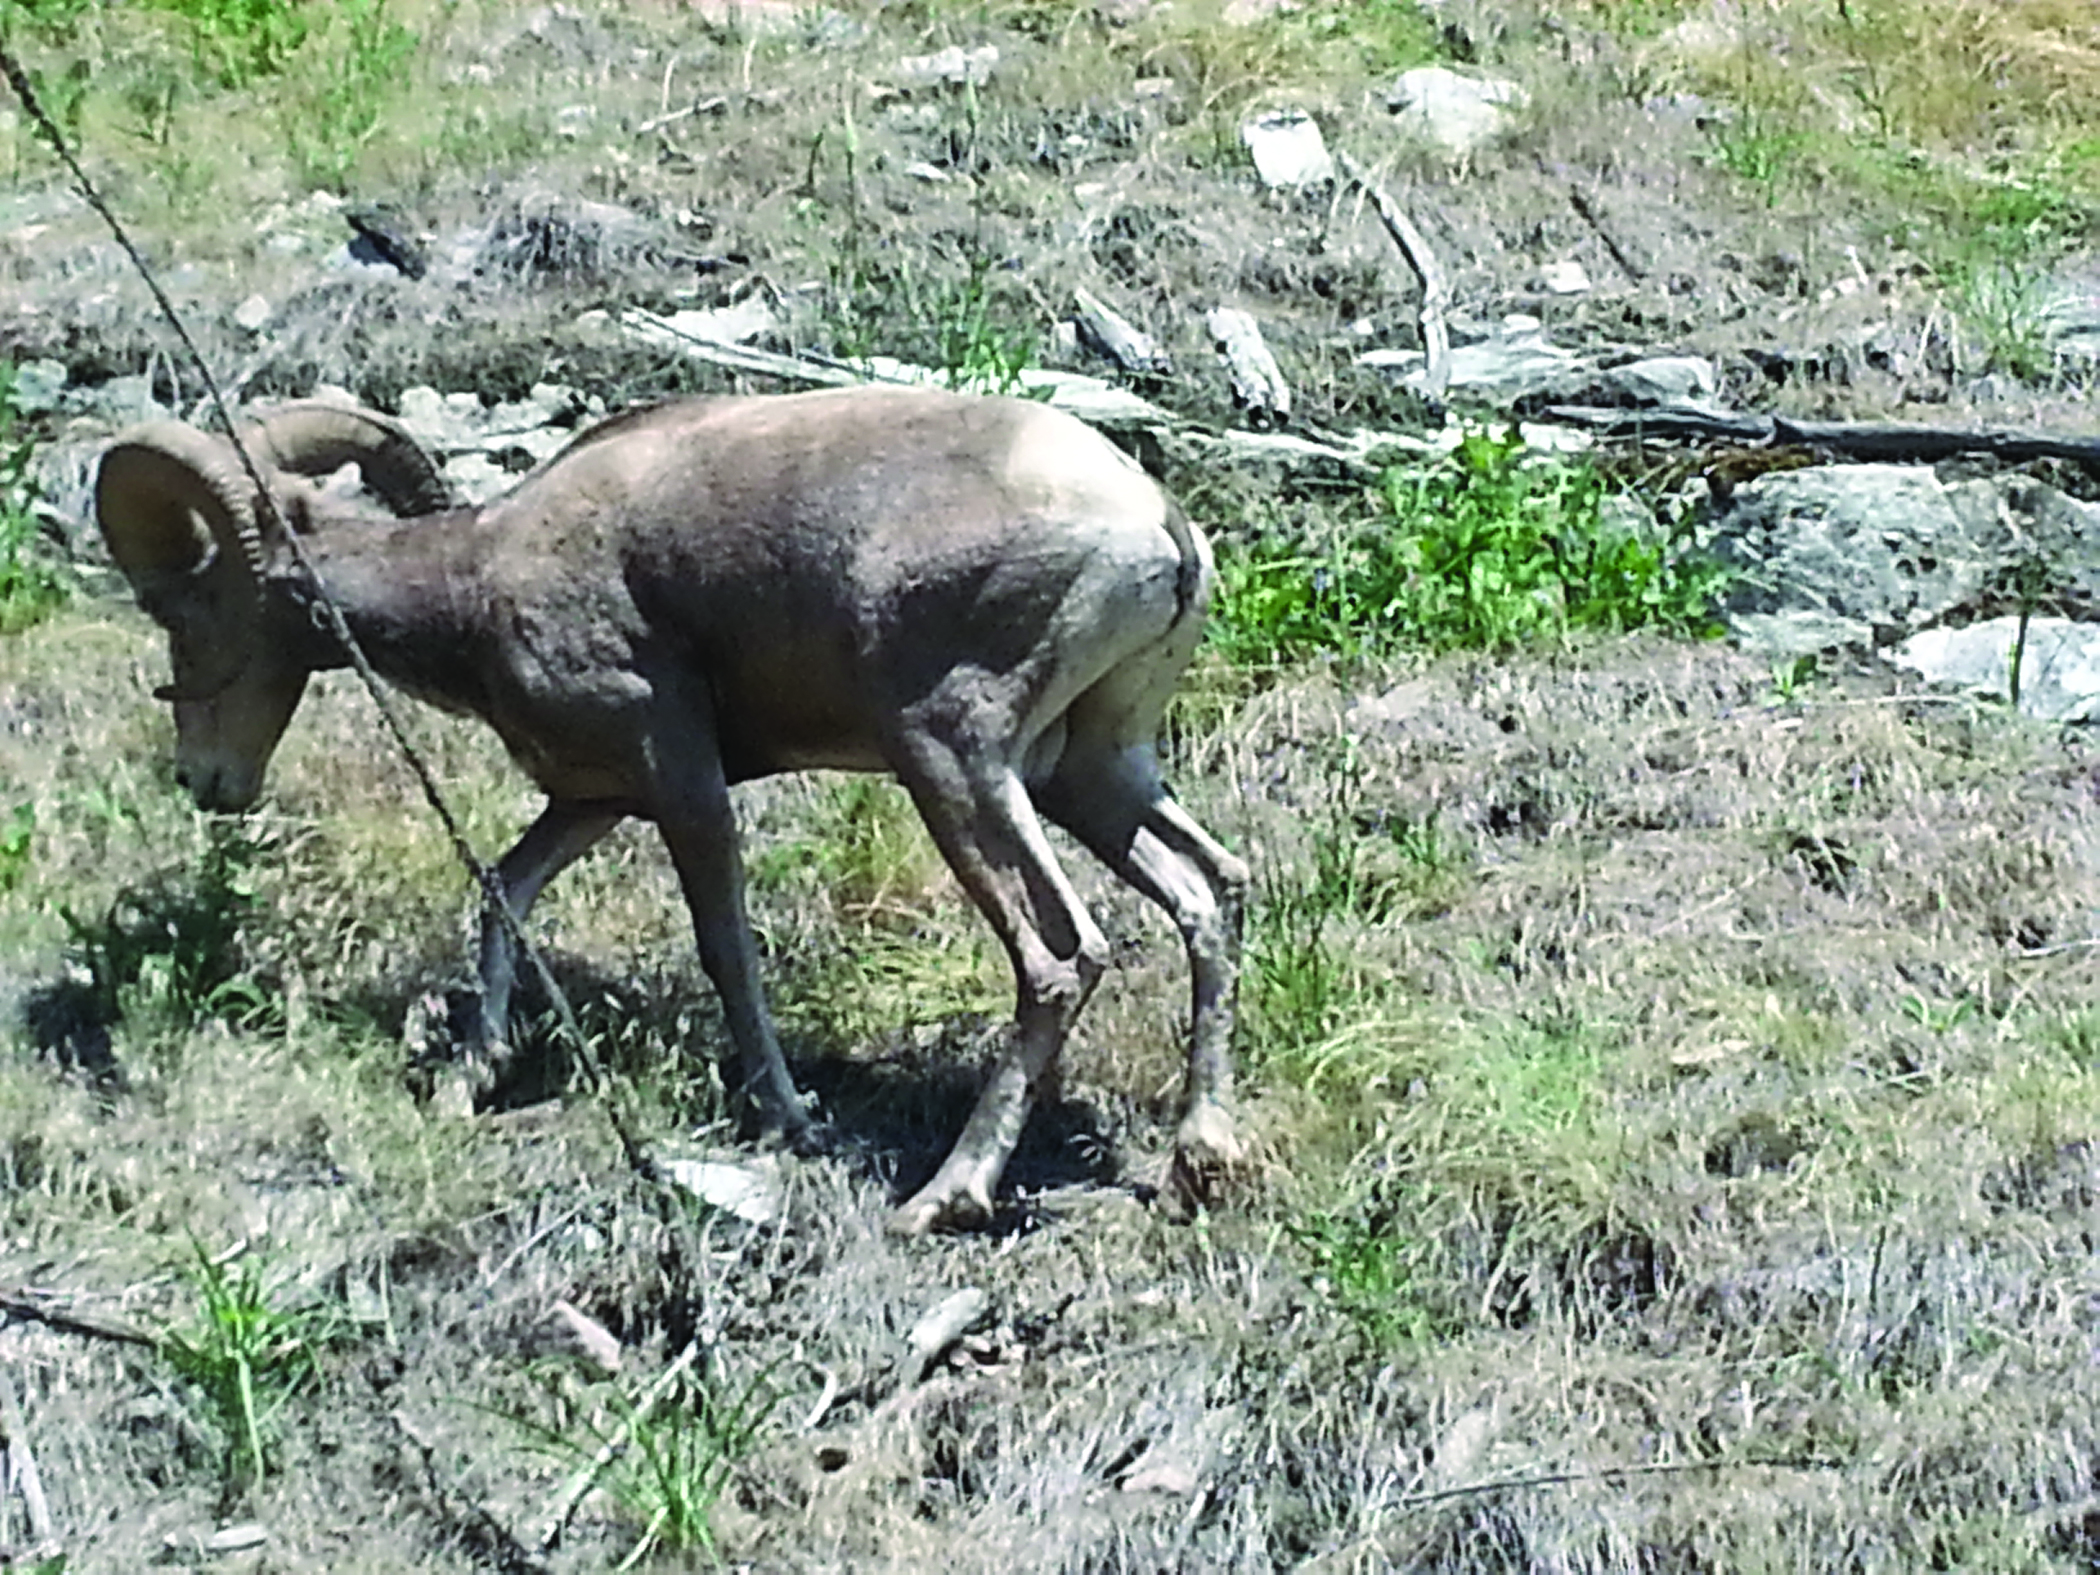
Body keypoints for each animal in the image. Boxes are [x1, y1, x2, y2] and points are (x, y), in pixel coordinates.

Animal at [94, 387, 1248, 1234]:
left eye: (191, 609)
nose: (207, 782)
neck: (480, 583)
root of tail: (1159, 537)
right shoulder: (596, 797)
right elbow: (504, 891)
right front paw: (474, 1075)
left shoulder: (678, 778)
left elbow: (725, 948)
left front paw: (790, 1119)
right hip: (1089, 774)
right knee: (1212, 893)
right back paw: (1201, 1154)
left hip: (953, 761)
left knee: (1061, 956)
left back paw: (942, 1197)